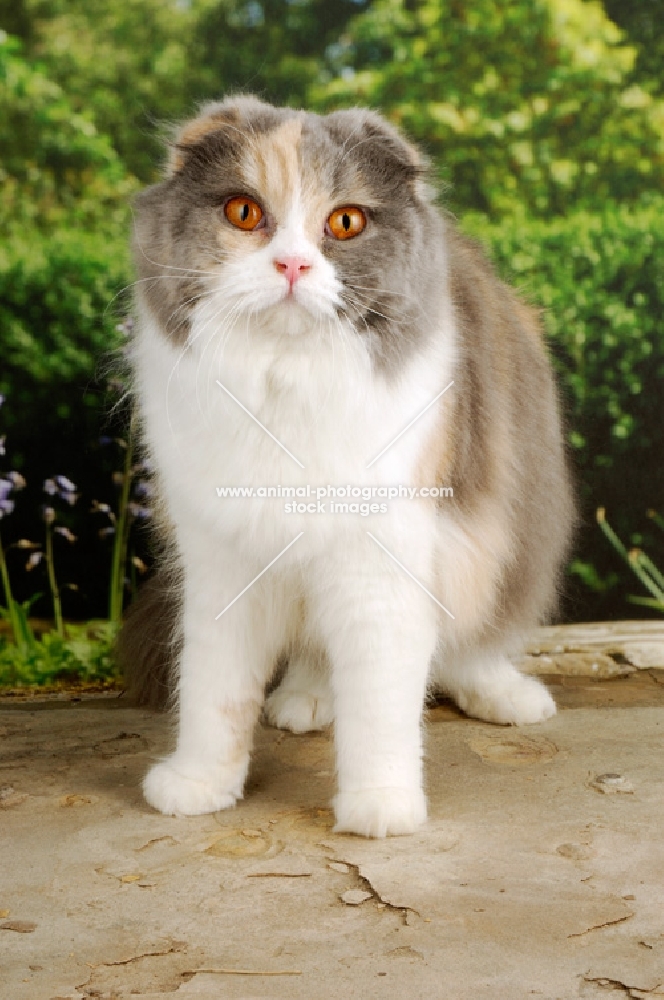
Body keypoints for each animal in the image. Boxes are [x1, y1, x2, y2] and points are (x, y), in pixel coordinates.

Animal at [120, 97, 576, 840]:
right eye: (244, 212)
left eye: (345, 223)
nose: (292, 266)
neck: (283, 388)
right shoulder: (227, 562)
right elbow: (214, 691)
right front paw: (199, 785)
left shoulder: (380, 560)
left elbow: (381, 702)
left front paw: (381, 805)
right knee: (314, 650)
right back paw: (305, 701)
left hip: (502, 533)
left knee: (473, 637)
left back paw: (506, 696)